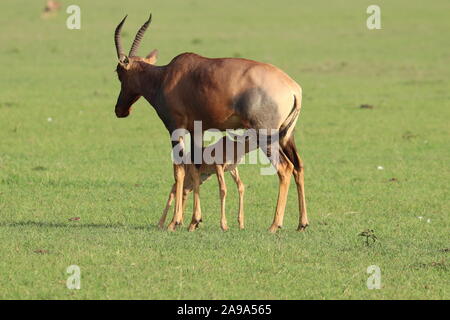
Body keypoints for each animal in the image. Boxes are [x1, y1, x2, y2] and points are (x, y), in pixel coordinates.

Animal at [114, 13, 308, 232]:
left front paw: (175, 222)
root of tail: (293, 89)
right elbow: (195, 166)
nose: (120, 110)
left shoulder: (175, 128)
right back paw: (302, 223)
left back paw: (274, 225)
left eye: (119, 72)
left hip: (266, 136)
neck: (167, 76)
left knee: (284, 169)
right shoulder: (196, 130)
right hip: (286, 135)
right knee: (298, 166)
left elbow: (179, 170)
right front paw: (194, 221)